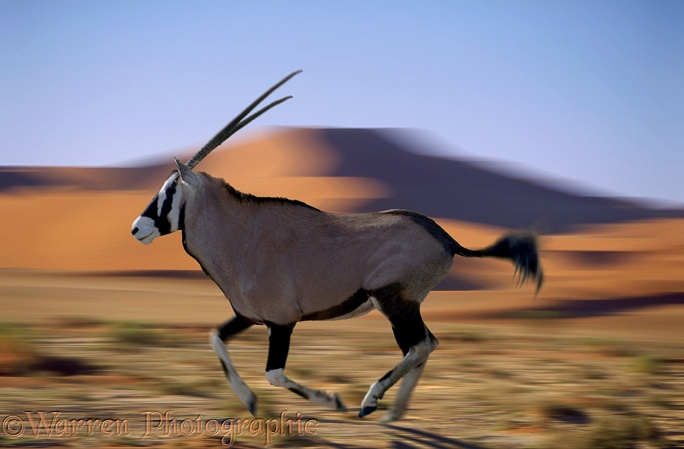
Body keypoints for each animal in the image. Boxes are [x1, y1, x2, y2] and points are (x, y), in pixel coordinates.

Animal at [131, 72, 544, 422]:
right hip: (402, 307)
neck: (240, 233)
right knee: (423, 346)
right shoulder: (248, 317)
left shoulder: (281, 322)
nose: (137, 228)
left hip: (394, 301)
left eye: (170, 189)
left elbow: (274, 374)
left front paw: (332, 400)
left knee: (422, 345)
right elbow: (216, 339)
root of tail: (446, 238)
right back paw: (394, 413)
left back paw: (370, 401)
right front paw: (249, 401)